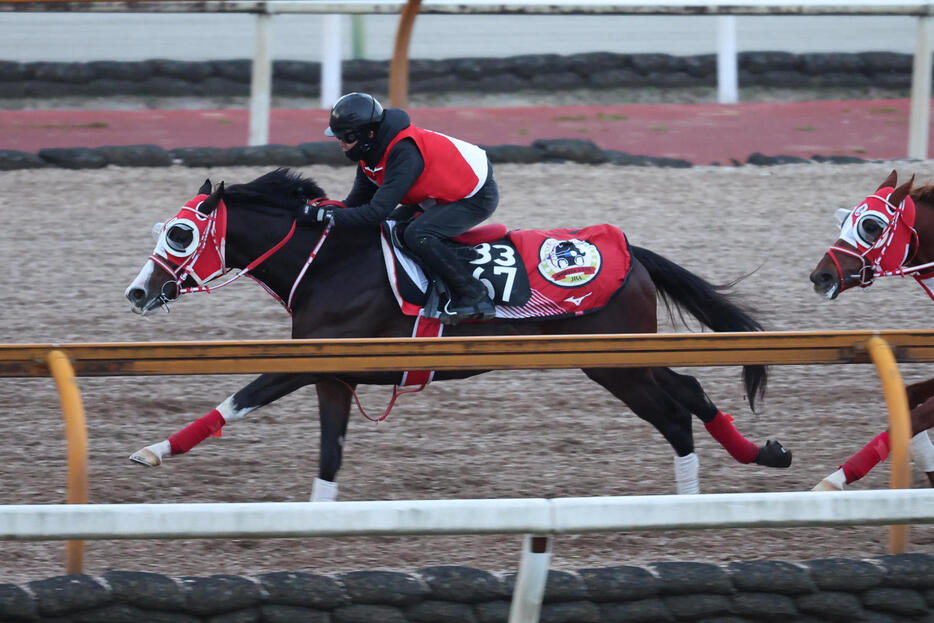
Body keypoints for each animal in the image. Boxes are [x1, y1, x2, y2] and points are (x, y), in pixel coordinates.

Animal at [124, 168, 792, 500]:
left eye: (180, 234)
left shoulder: (309, 361)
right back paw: (764, 454)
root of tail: (633, 252)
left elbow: (239, 398)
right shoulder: (334, 374)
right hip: (623, 360)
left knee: (676, 412)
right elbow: (329, 457)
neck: (334, 262)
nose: (136, 291)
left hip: (615, 363)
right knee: (690, 393)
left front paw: (151, 451)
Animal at [812, 168, 934, 490]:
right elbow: (908, 401)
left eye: (870, 225)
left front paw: (830, 482)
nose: (821, 276)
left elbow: (912, 421)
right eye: (844, 220)